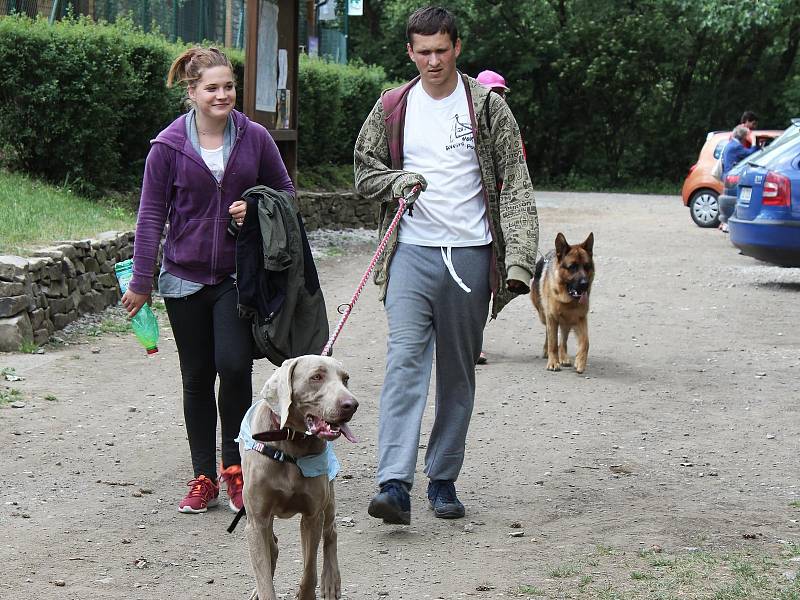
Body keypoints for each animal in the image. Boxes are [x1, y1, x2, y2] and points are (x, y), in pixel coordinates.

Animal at [241, 356, 360, 600]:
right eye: (317, 377)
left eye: (345, 379)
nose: (351, 404)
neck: (290, 442)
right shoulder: (256, 522)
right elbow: (264, 576)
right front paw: (261, 589)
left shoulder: (312, 516)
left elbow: (309, 570)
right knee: (272, 546)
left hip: (328, 498)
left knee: (331, 531)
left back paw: (331, 581)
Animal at [532, 232, 592, 372]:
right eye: (572, 267)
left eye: (587, 266)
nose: (585, 284)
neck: (568, 300)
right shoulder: (551, 317)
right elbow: (553, 343)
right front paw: (553, 362)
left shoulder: (580, 318)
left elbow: (585, 342)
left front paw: (580, 362)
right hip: (544, 316)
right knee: (549, 335)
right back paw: (547, 352)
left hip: (567, 322)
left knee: (563, 340)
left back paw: (563, 357)